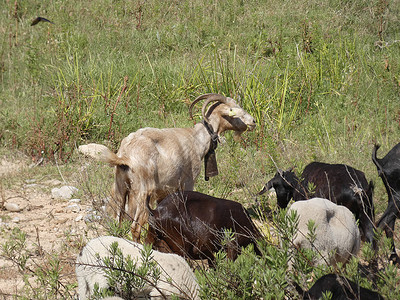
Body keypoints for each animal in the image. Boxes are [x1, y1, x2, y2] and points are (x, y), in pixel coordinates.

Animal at [78, 94, 256, 241]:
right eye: (237, 110)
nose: (254, 121)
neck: (196, 139)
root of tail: (125, 155)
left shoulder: (164, 192)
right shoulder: (187, 182)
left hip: (120, 188)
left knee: (118, 222)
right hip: (143, 191)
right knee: (135, 227)